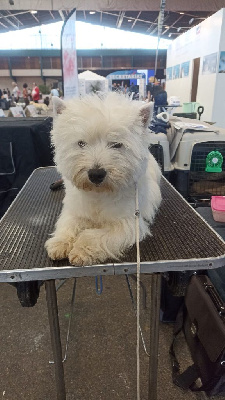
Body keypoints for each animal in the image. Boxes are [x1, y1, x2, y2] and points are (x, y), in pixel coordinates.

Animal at [45, 92, 162, 264]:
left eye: (116, 144)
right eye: (81, 143)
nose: (96, 174)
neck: (98, 194)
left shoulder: (128, 223)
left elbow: (94, 236)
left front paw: (81, 251)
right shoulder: (75, 210)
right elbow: (67, 224)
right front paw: (60, 243)